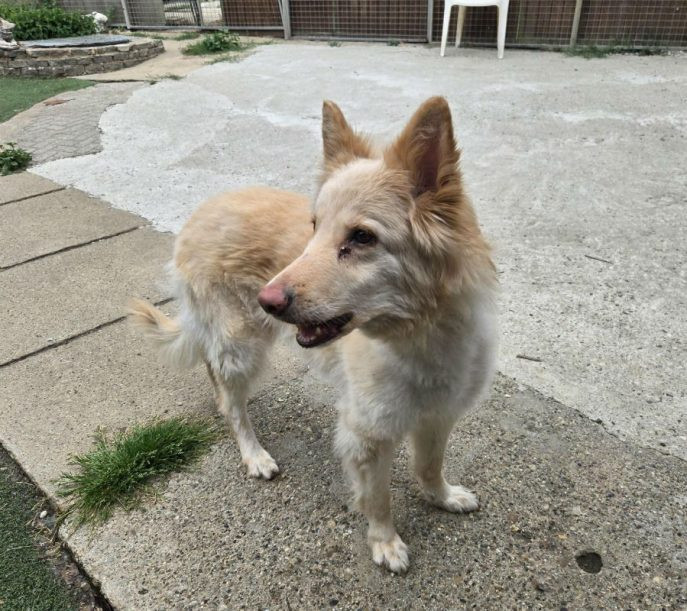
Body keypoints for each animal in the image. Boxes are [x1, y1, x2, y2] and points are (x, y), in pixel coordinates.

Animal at [129, 96, 498, 573]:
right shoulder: (367, 434)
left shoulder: (440, 414)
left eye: (362, 237)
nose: (268, 300)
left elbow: (430, 467)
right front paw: (385, 542)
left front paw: (443, 498)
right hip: (242, 344)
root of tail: (202, 209)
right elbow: (378, 498)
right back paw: (254, 454)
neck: (422, 334)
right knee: (232, 403)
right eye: (315, 226)